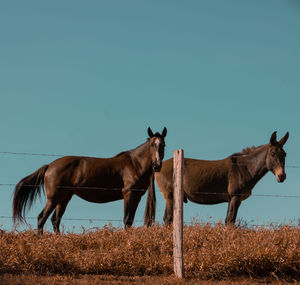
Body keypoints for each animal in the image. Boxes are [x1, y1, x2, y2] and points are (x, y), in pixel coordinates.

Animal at [13, 127, 166, 233]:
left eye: (163, 145)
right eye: (152, 145)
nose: (157, 165)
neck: (134, 164)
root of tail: (49, 166)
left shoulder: (137, 196)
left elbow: (130, 221)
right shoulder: (128, 194)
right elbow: (127, 219)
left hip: (64, 198)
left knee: (55, 220)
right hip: (53, 198)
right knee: (42, 218)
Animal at [155, 131, 288, 226]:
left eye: (285, 154)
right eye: (272, 154)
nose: (282, 176)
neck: (245, 168)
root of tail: (158, 166)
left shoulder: (232, 199)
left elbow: (228, 220)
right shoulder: (235, 196)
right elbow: (230, 221)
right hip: (169, 196)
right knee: (168, 219)